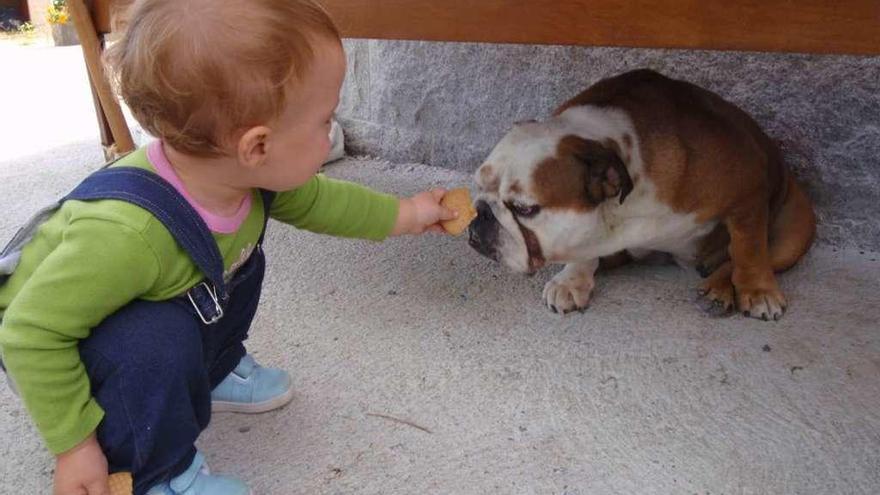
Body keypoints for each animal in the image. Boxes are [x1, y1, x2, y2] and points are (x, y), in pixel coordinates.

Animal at [470, 70, 816, 322]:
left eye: (524, 209)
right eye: (478, 188)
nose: (481, 213)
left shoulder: (747, 190)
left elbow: (748, 248)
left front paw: (757, 290)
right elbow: (582, 249)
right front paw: (572, 279)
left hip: (794, 230)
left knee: (748, 256)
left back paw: (718, 289)